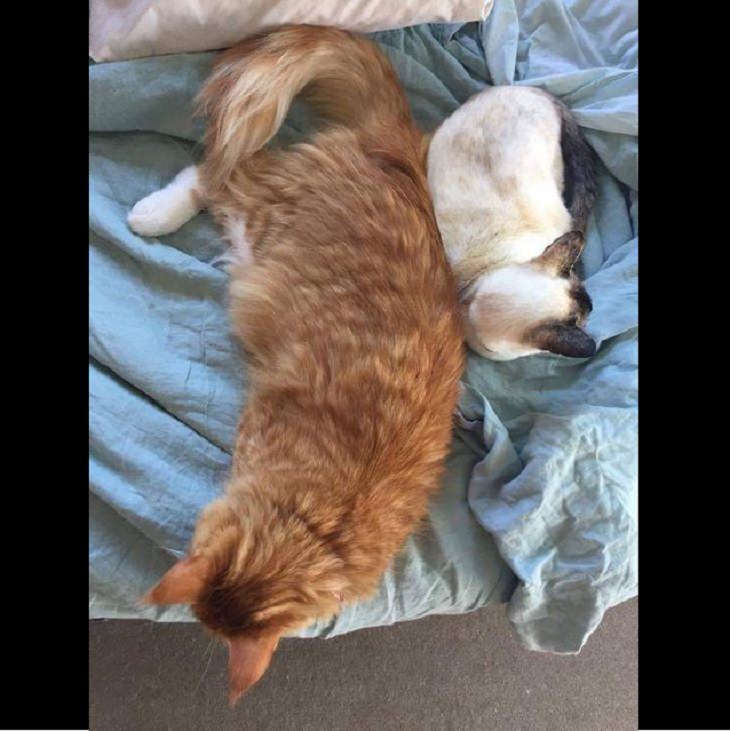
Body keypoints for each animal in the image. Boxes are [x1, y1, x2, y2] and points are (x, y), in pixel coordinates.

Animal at [129, 25, 460, 708]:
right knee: (216, 171)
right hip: (259, 217)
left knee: (218, 173)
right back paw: (150, 214)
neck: (319, 517)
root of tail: (393, 141)